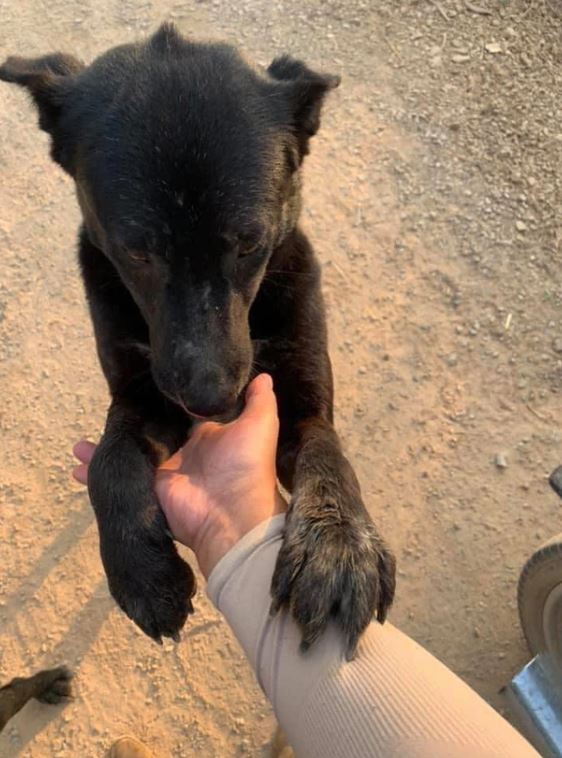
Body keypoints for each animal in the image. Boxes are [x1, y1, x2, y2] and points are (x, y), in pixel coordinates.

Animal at [0, 25, 394, 660]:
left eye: (250, 243)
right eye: (138, 253)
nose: (212, 403)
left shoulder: (305, 403)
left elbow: (328, 455)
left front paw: (335, 547)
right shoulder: (142, 398)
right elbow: (110, 459)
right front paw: (143, 572)